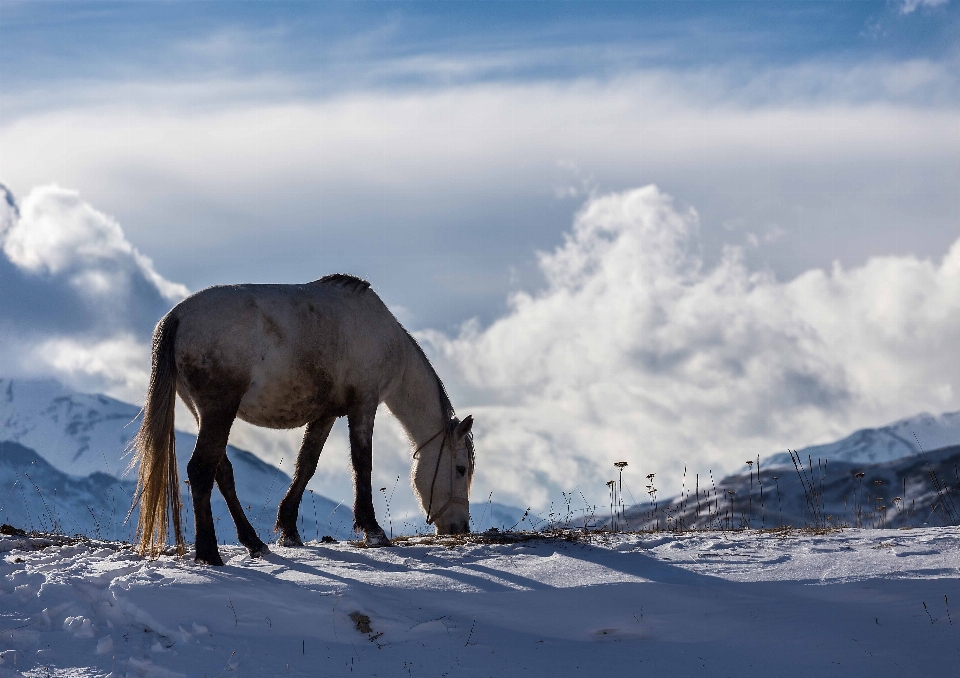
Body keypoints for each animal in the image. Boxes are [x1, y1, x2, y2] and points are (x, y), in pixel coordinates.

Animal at [129, 274, 474, 564]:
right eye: (460, 469)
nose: (459, 527)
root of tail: (177, 316)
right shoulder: (364, 404)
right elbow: (363, 463)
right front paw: (373, 530)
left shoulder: (326, 414)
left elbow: (307, 464)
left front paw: (289, 529)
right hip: (218, 411)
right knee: (201, 470)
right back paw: (209, 554)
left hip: (205, 414)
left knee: (221, 471)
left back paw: (254, 543)